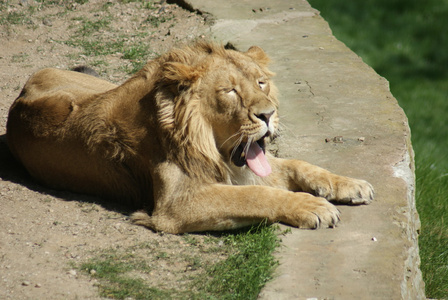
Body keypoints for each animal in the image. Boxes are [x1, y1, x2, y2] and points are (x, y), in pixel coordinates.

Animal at [6, 41, 374, 234]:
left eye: (261, 83)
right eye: (230, 91)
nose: (268, 114)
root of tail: (19, 98)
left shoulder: (246, 167)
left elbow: (300, 165)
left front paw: (350, 185)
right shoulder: (175, 204)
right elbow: (254, 196)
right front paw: (312, 205)